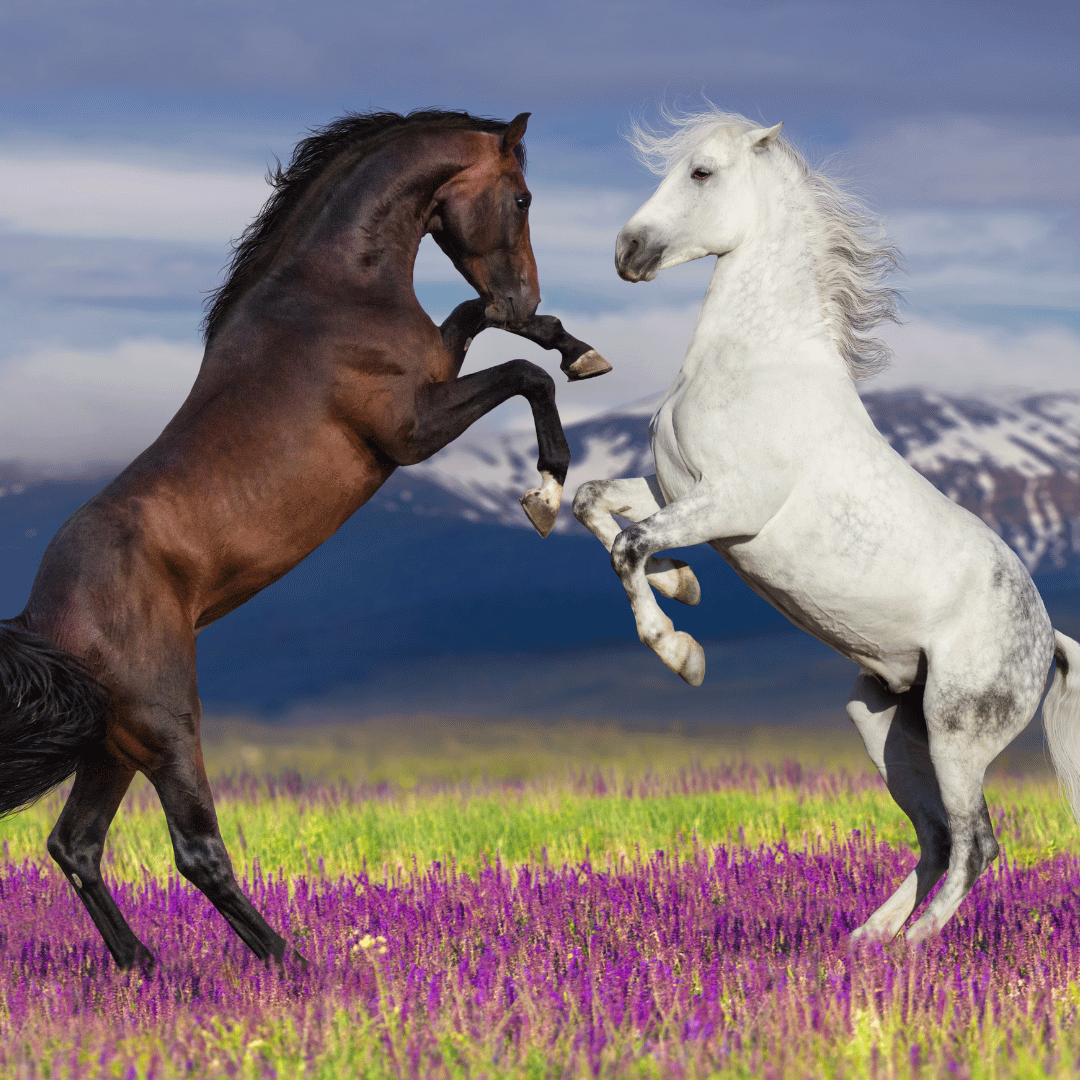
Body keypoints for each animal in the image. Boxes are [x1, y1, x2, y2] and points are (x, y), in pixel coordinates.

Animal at [0, 108, 613, 971]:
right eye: (522, 197)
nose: (524, 288)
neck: (334, 293)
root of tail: (43, 618)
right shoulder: (410, 429)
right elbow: (527, 376)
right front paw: (546, 490)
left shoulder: (438, 364)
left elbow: (487, 328)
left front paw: (576, 343)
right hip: (166, 723)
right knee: (195, 852)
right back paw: (293, 963)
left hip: (114, 743)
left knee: (75, 845)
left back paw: (142, 967)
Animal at [573, 105, 1080, 942]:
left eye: (702, 172)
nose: (627, 252)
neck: (757, 361)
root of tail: (1050, 640)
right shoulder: (676, 490)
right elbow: (594, 503)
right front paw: (684, 588)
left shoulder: (730, 505)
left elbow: (628, 544)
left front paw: (681, 653)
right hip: (885, 725)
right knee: (935, 837)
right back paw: (865, 943)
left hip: (957, 731)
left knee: (978, 842)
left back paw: (914, 948)